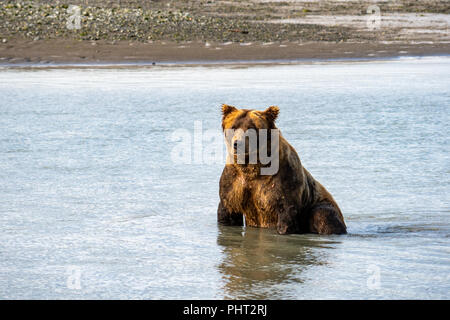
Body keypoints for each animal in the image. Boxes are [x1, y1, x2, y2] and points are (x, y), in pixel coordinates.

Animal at [218, 105, 348, 235]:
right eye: (233, 126)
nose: (237, 144)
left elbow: (286, 214)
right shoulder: (234, 182)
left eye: (251, 128)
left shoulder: (283, 181)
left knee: (322, 216)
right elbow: (227, 211)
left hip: (321, 204)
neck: (252, 167)